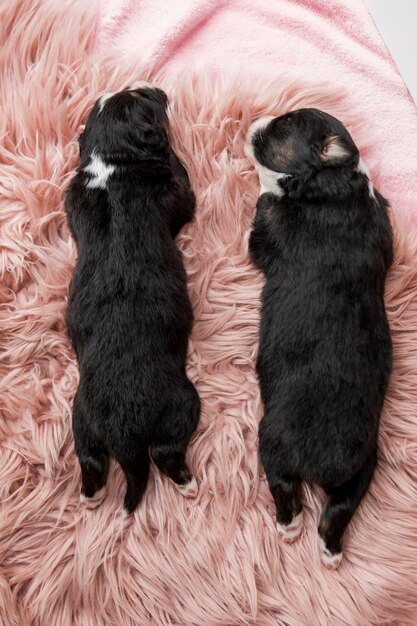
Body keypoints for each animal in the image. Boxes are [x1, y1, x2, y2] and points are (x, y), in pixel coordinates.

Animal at [65, 81, 200, 512]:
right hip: (182, 404)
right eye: (144, 99)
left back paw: (92, 496)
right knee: (165, 452)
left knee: (91, 458)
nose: (159, 88)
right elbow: (181, 182)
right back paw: (188, 483)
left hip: (81, 416)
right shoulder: (176, 194)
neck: (113, 162)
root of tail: (124, 437)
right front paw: (172, 151)